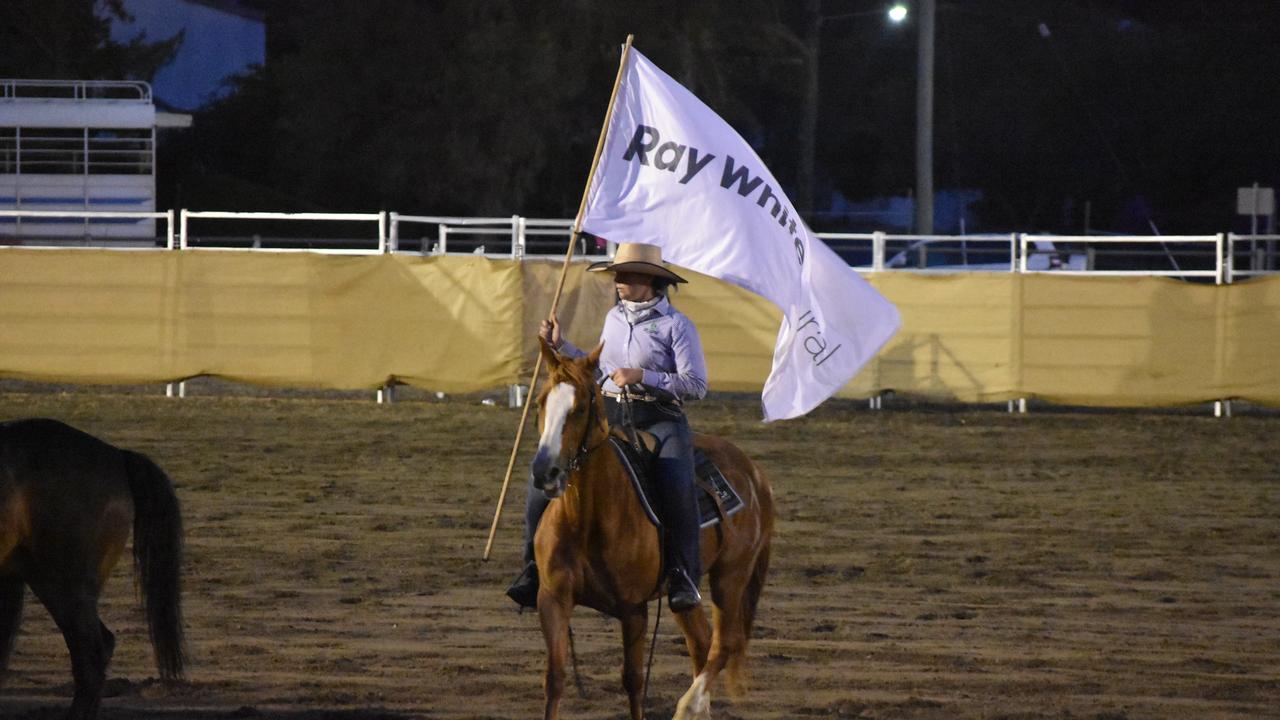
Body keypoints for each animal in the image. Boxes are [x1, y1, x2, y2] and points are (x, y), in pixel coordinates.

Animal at [527, 340, 773, 717]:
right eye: (541, 402)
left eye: (580, 407)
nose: (545, 472)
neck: (587, 519)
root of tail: (755, 473)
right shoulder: (552, 598)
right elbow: (554, 679)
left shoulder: (633, 609)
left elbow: (633, 680)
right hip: (684, 588)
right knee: (701, 641)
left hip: (731, 575)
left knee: (724, 643)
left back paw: (689, 704)